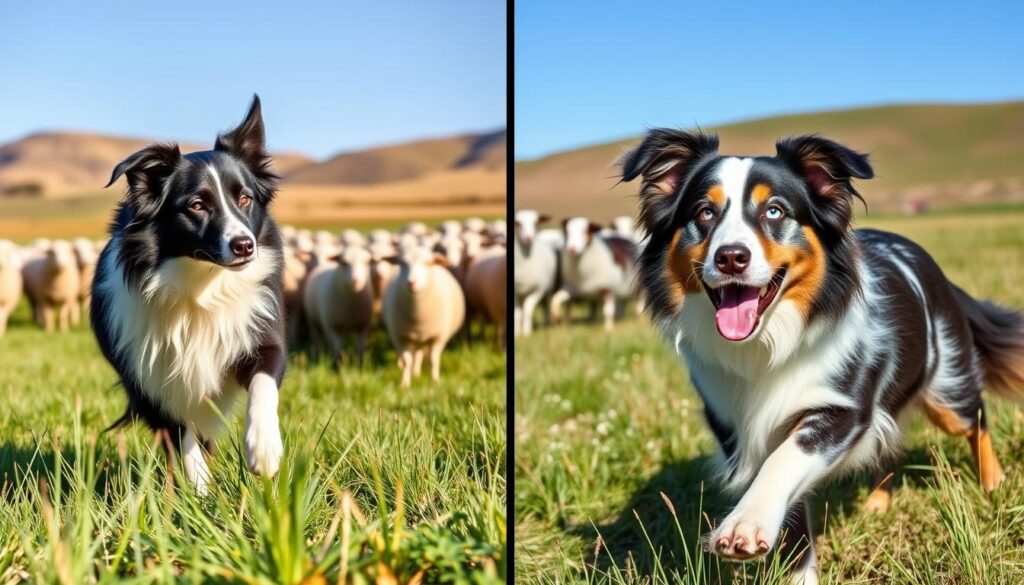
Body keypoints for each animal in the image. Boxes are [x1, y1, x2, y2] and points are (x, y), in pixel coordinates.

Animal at [92, 97, 286, 493]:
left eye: (244, 198)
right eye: (197, 205)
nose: (245, 245)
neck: (201, 287)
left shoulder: (260, 334)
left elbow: (263, 383)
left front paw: (264, 448)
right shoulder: (151, 381)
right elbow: (182, 438)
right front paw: (199, 493)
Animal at [382, 247, 466, 389]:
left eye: (428, 263)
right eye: (402, 263)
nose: (412, 283)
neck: (418, 319)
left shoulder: (438, 337)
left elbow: (433, 360)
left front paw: (435, 381)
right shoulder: (400, 336)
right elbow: (407, 360)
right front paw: (404, 384)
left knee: (420, 354)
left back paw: (417, 373)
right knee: (415, 354)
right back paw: (414, 372)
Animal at [614, 130, 1024, 581]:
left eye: (775, 210)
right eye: (705, 212)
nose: (731, 257)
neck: (767, 345)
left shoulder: (843, 408)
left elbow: (787, 458)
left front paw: (745, 525)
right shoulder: (739, 427)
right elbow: (791, 515)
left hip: (946, 381)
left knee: (975, 419)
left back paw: (993, 484)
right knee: (887, 447)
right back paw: (877, 503)